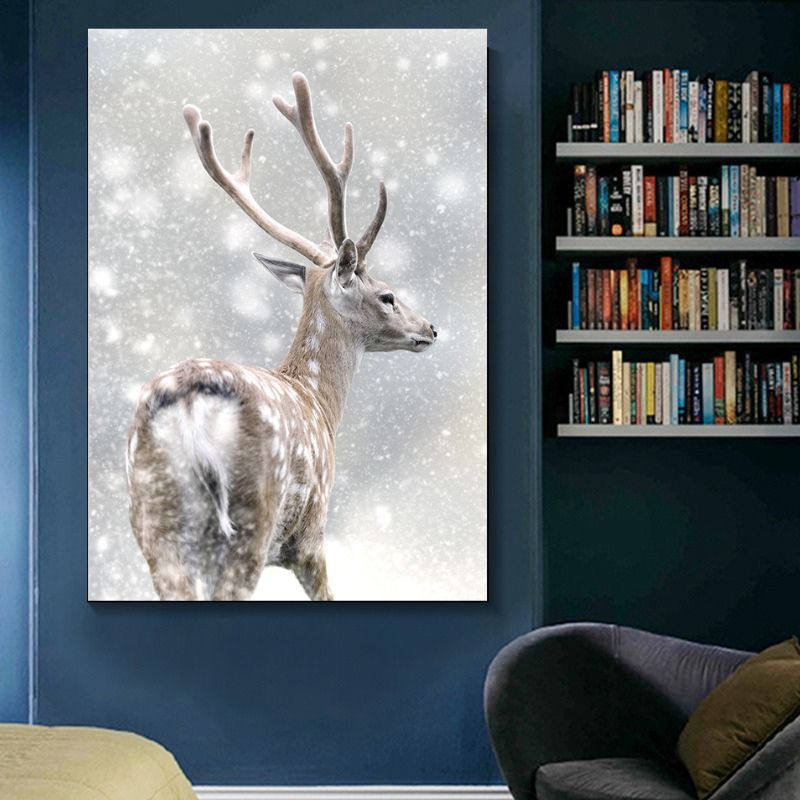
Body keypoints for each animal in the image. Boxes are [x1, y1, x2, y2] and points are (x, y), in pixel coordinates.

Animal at [126, 72, 437, 601]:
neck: (318, 402)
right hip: (253, 514)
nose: (429, 328)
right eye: (388, 296)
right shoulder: (310, 535)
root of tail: (188, 402)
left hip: (153, 522)